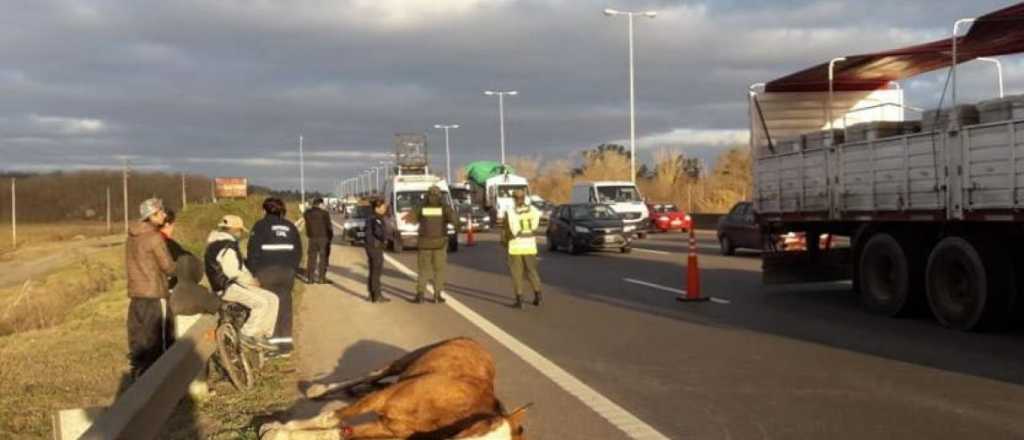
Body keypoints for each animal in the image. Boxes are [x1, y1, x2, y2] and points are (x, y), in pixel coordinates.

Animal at [260, 337, 532, 437]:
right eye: (486, 426)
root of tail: (477, 344)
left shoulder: (388, 428)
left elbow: (339, 431)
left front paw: (277, 432)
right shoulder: (385, 398)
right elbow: (330, 418)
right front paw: (275, 427)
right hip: (407, 360)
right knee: (374, 374)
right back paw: (321, 389)